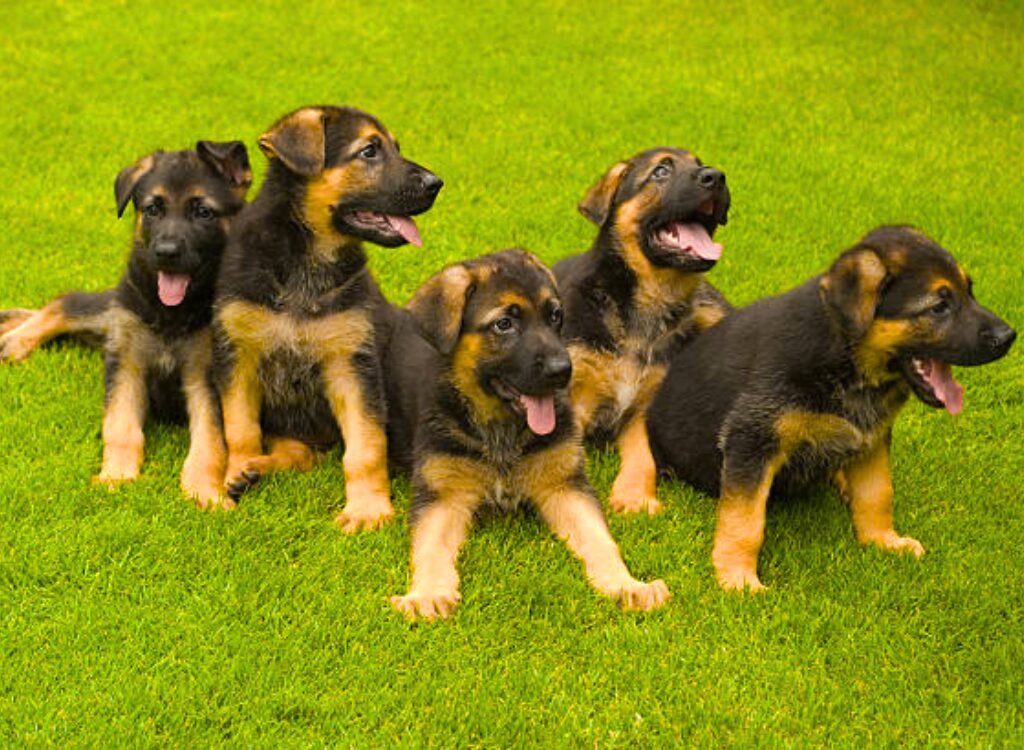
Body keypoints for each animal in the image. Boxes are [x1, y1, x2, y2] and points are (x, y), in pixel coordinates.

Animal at [1, 140, 252, 504]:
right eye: (153, 209)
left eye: (203, 212)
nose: (165, 252)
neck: (172, 313)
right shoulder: (126, 363)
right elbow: (121, 426)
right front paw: (117, 476)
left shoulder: (205, 377)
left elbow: (210, 439)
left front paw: (205, 490)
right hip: (116, 311)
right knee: (66, 302)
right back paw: (16, 339)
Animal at [214, 105, 442, 528]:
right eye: (369, 151)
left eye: (395, 147)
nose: (437, 184)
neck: (307, 261)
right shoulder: (238, 353)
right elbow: (239, 426)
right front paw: (237, 469)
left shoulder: (352, 364)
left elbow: (366, 446)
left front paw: (368, 508)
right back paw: (257, 468)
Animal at [385, 247, 671, 622]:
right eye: (505, 324)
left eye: (555, 317)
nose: (563, 371)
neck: (502, 429)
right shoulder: (441, 497)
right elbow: (430, 548)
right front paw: (428, 594)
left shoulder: (564, 485)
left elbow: (600, 539)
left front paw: (626, 585)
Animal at [557, 146, 733, 516]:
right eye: (660, 171)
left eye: (700, 164)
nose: (716, 176)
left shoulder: (644, 409)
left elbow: (643, 457)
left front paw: (634, 497)